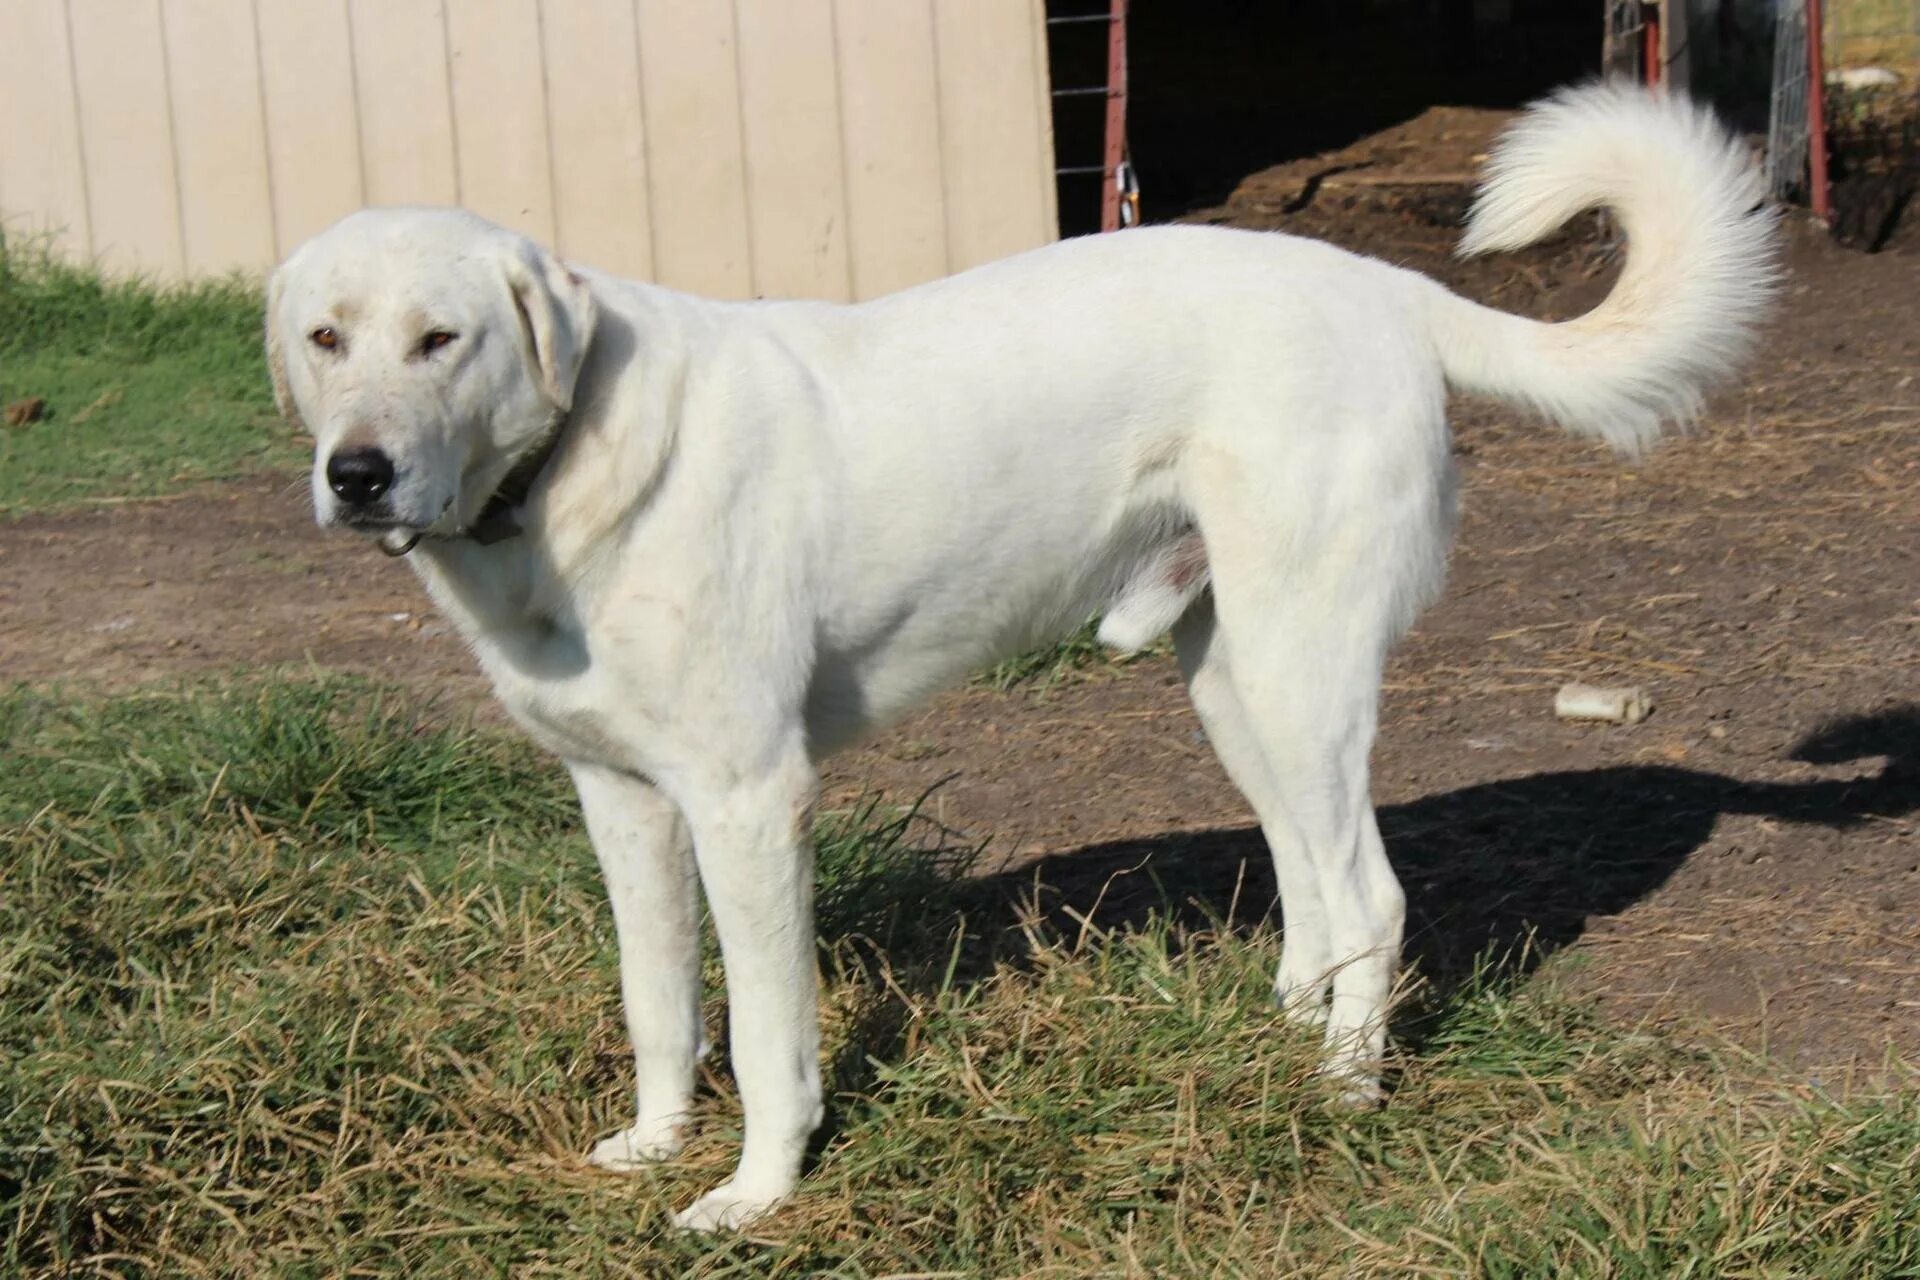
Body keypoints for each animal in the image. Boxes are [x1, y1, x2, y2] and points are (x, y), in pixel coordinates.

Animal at [266, 84, 1766, 1228]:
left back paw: (1340, 1097)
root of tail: (1387, 288)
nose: (357, 475)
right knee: (1313, 881)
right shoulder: (626, 805)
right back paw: (1275, 1042)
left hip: (1301, 668)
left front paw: (753, 1196)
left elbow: (765, 1034)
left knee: (1376, 897)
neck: (562, 470)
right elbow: (658, 1006)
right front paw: (653, 1144)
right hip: (1237, 681)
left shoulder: (753, 804)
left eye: (442, 338)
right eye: (324, 336)